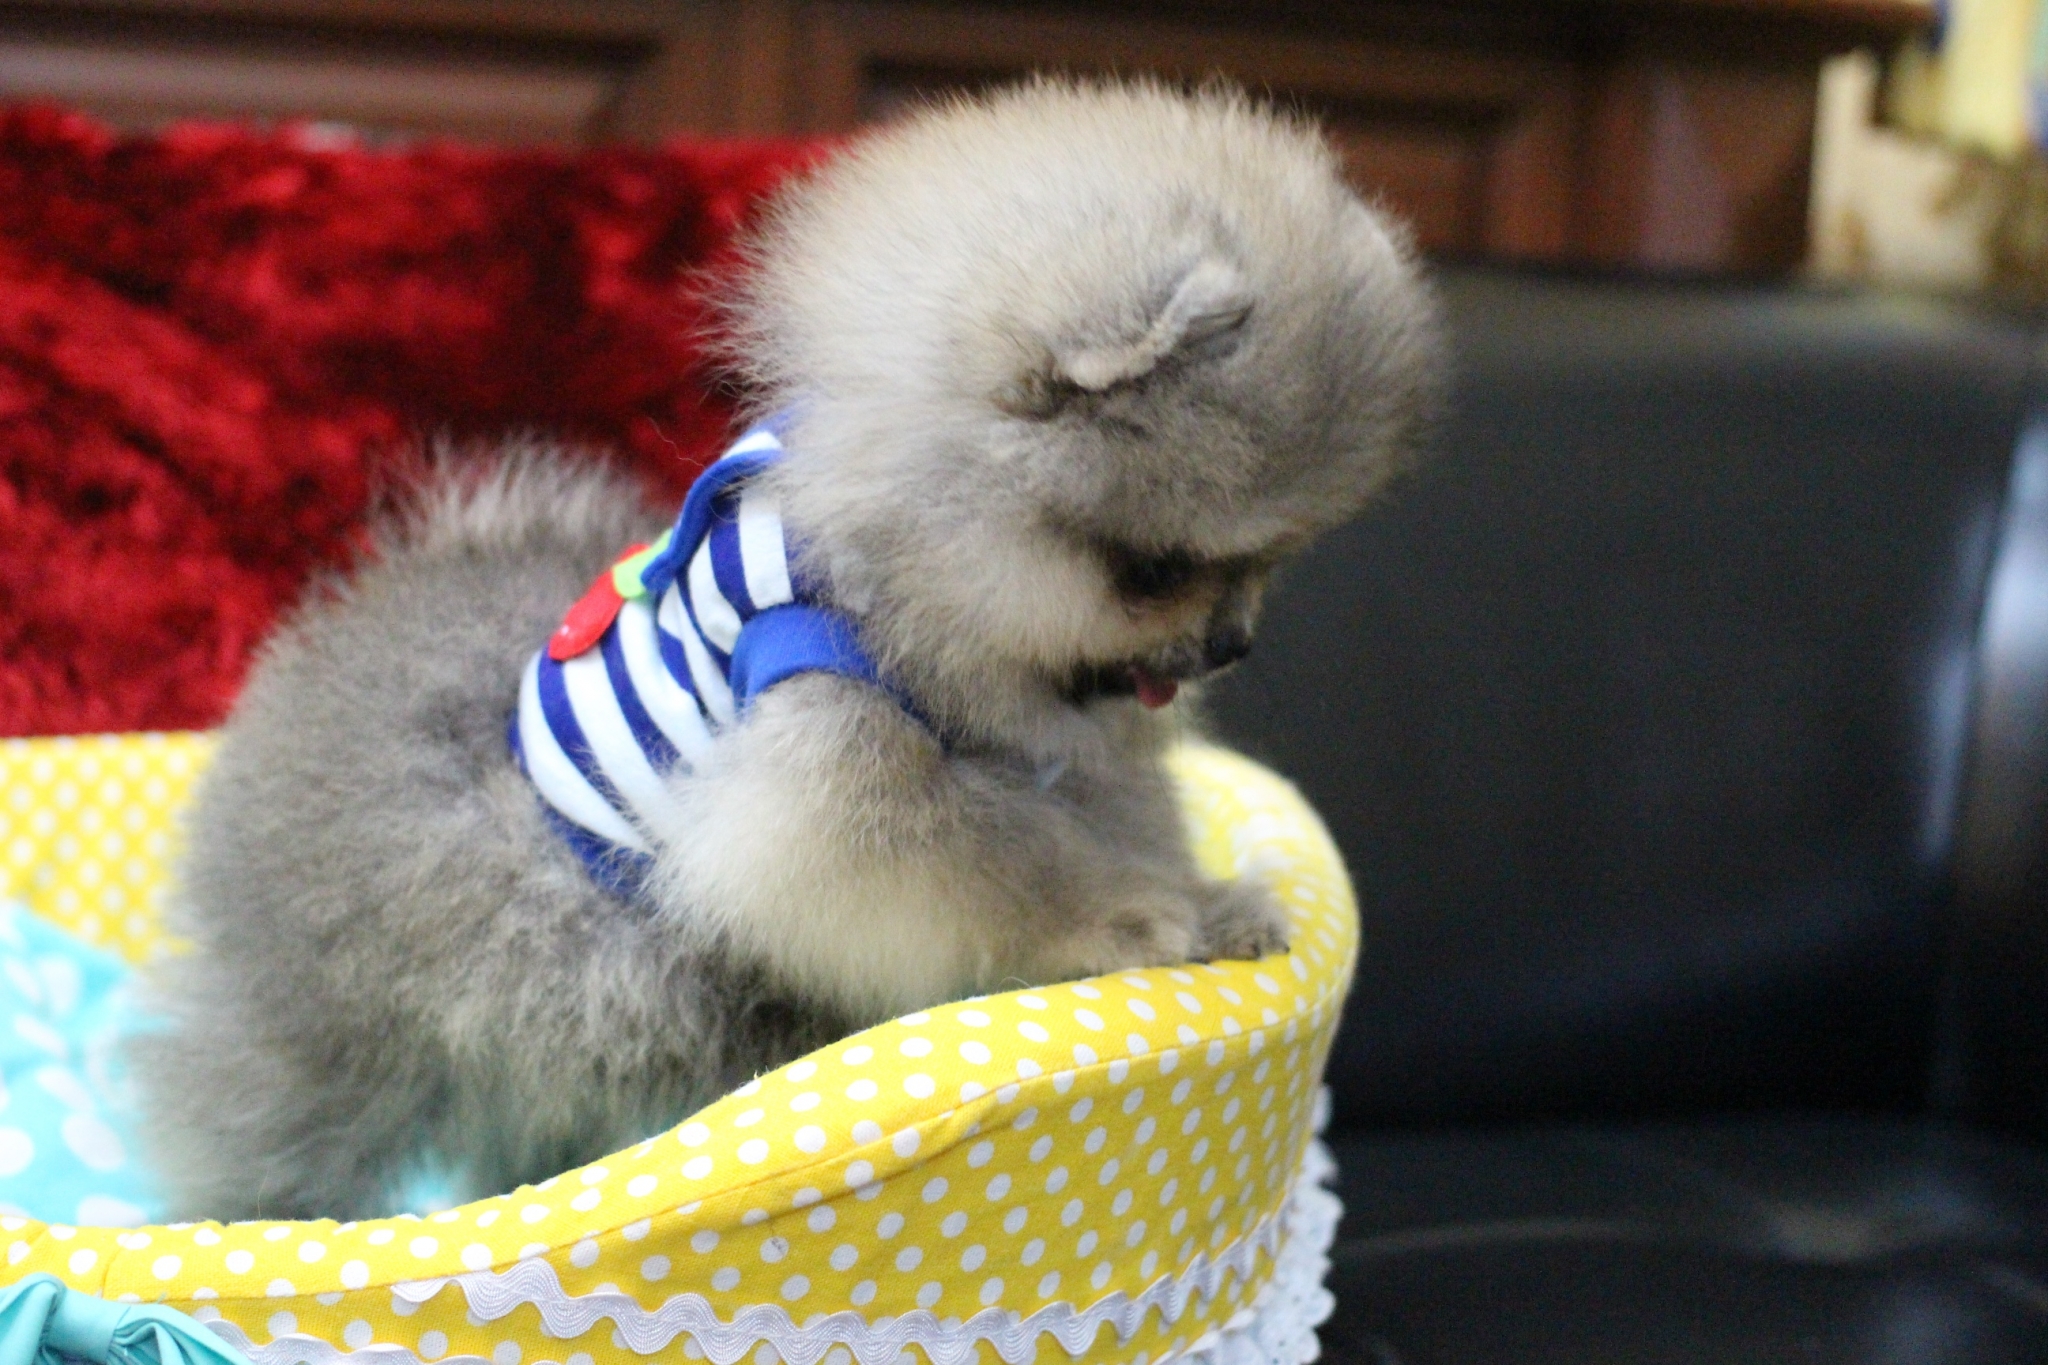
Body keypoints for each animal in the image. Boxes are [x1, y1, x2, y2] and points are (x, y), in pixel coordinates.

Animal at [133, 77, 1439, 1220]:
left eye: (1270, 562)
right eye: (1155, 568)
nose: (1229, 645)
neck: (901, 560)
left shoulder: (1060, 753)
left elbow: (1101, 818)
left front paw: (1205, 902)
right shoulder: (829, 753)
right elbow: (974, 871)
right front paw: (1124, 924)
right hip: (362, 1016)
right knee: (279, 1116)